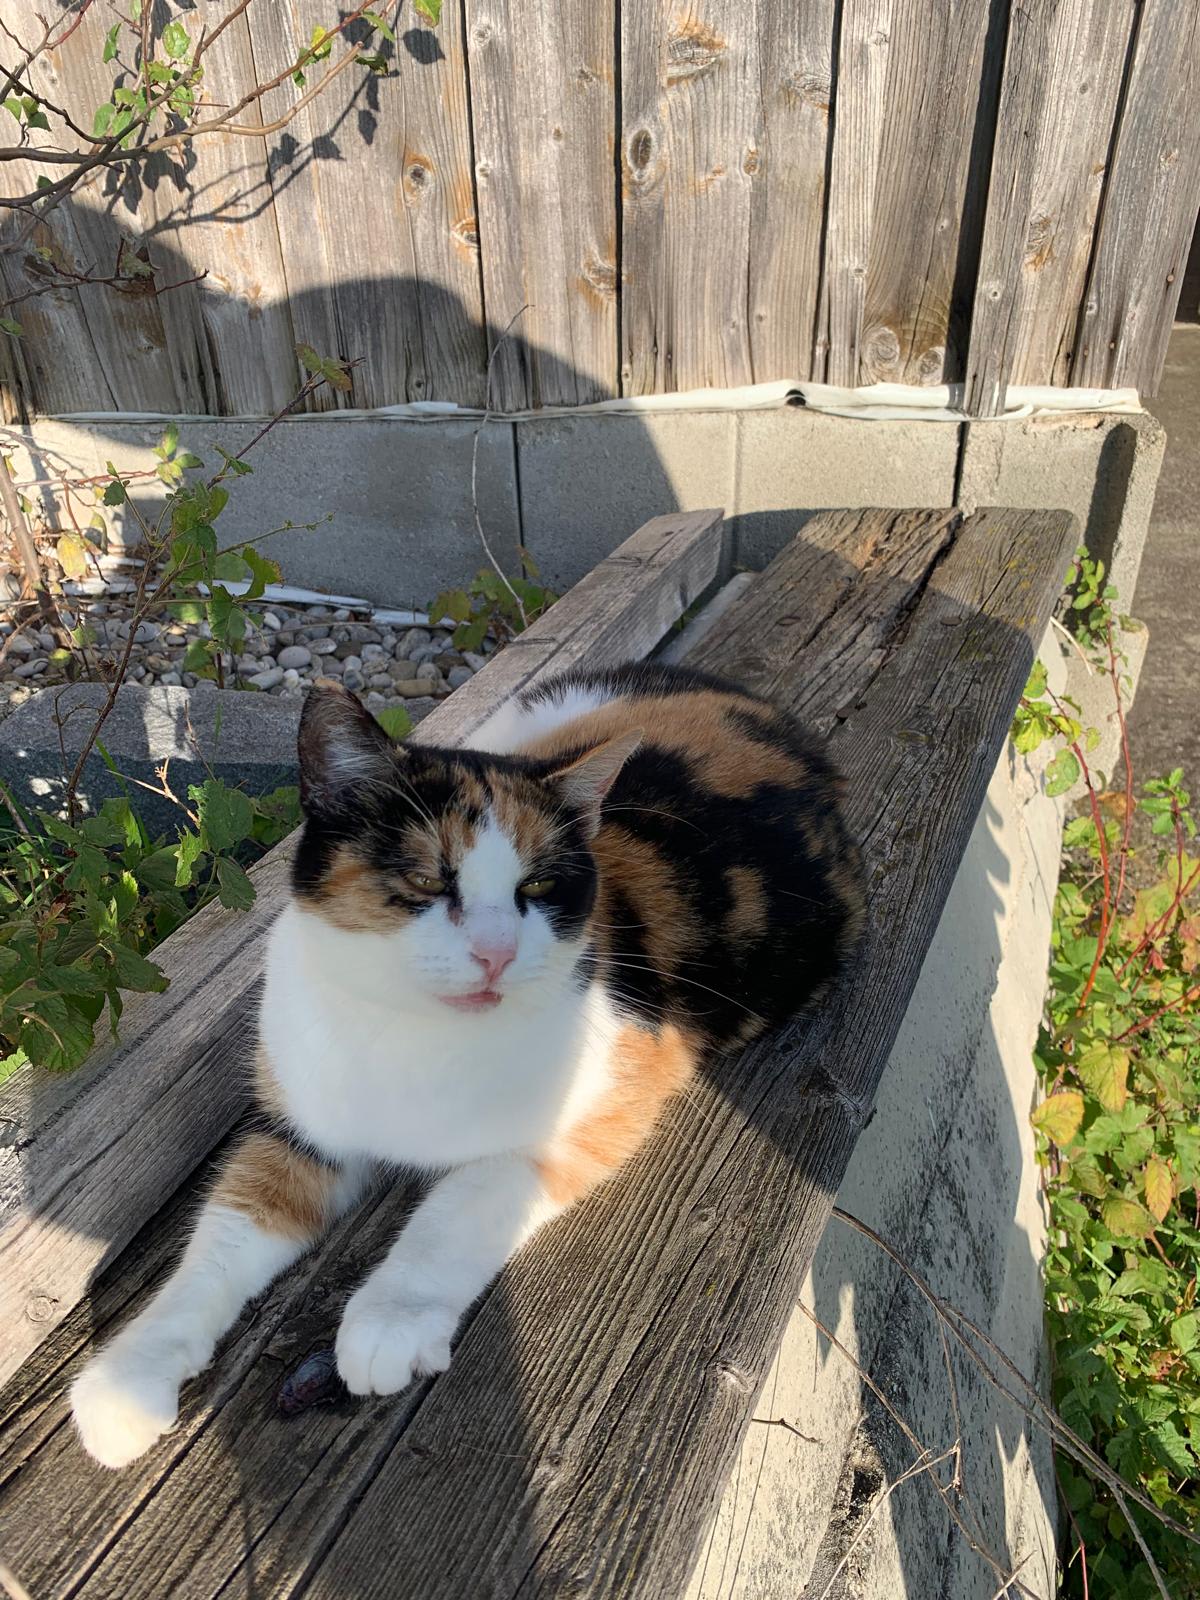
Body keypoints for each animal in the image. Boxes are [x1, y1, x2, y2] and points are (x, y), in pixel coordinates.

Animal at [71, 661, 864, 1468]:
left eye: (538, 887)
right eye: (427, 880)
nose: (496, 952)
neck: (409, 1032)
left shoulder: (612, 1089)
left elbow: (461, 1207)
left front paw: (388, 1322)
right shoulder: (298, 1127)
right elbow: (224, 1235)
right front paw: (128, 1381)